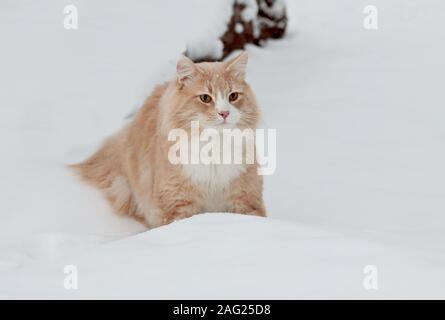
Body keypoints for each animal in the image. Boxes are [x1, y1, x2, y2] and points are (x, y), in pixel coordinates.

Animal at [72, 52, 266, 228]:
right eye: (205, 98)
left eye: (233, 96)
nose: (224, 113)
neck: (214, 147)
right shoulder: (175, 204)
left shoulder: (246, 200)